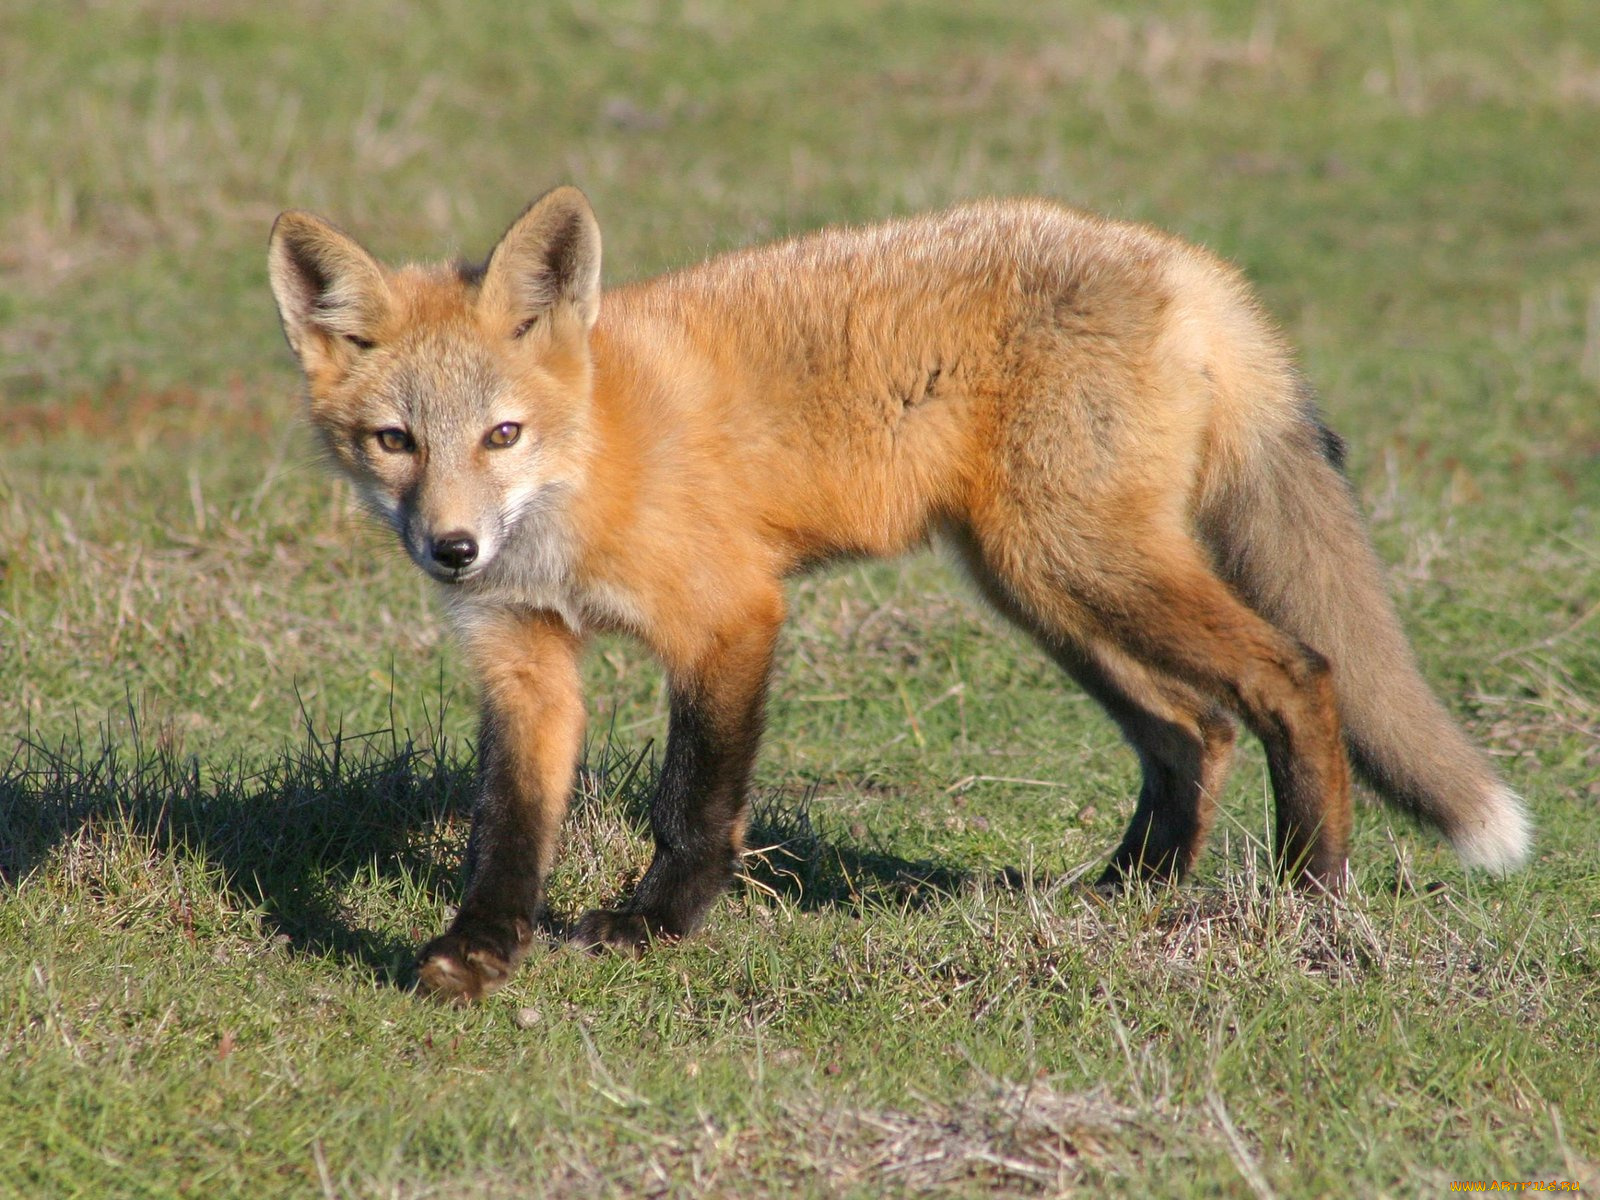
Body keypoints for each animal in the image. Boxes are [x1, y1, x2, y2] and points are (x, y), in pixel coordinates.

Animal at [268, 187, 1530, 1003]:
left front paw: (654, 924)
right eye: (393, 442)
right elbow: (507, 825)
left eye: (502, 434)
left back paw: (1308, 898)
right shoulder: (522, 656)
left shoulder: (730, 616)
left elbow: (692, 802)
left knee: (1297, 676)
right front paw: (479, 952)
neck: (589, 465)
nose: (453, 550)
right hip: (1042, 588)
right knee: (1193, 730)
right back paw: (1124, 891)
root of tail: (1177, 259)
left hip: (1080, 566)